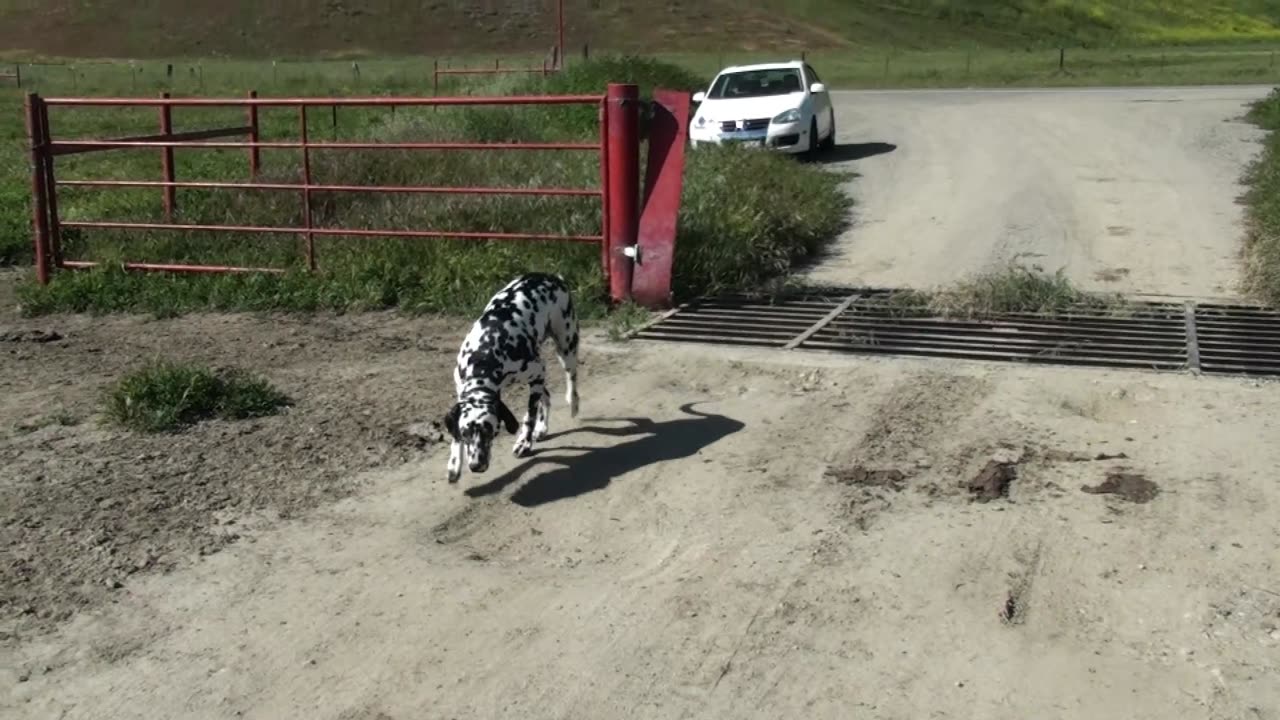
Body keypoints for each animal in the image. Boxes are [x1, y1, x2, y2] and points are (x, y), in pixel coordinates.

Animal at [442, 271, 578, 484]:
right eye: (465, 432)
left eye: (490, 430)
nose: (476, 466)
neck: (484, 355)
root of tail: (552, 276)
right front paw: (455, 463)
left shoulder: (537, 372)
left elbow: (529, 417)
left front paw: (524, 442)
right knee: (546, 396)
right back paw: (542, 427)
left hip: (565, 347)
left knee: (571, 377)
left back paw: (573, 402)